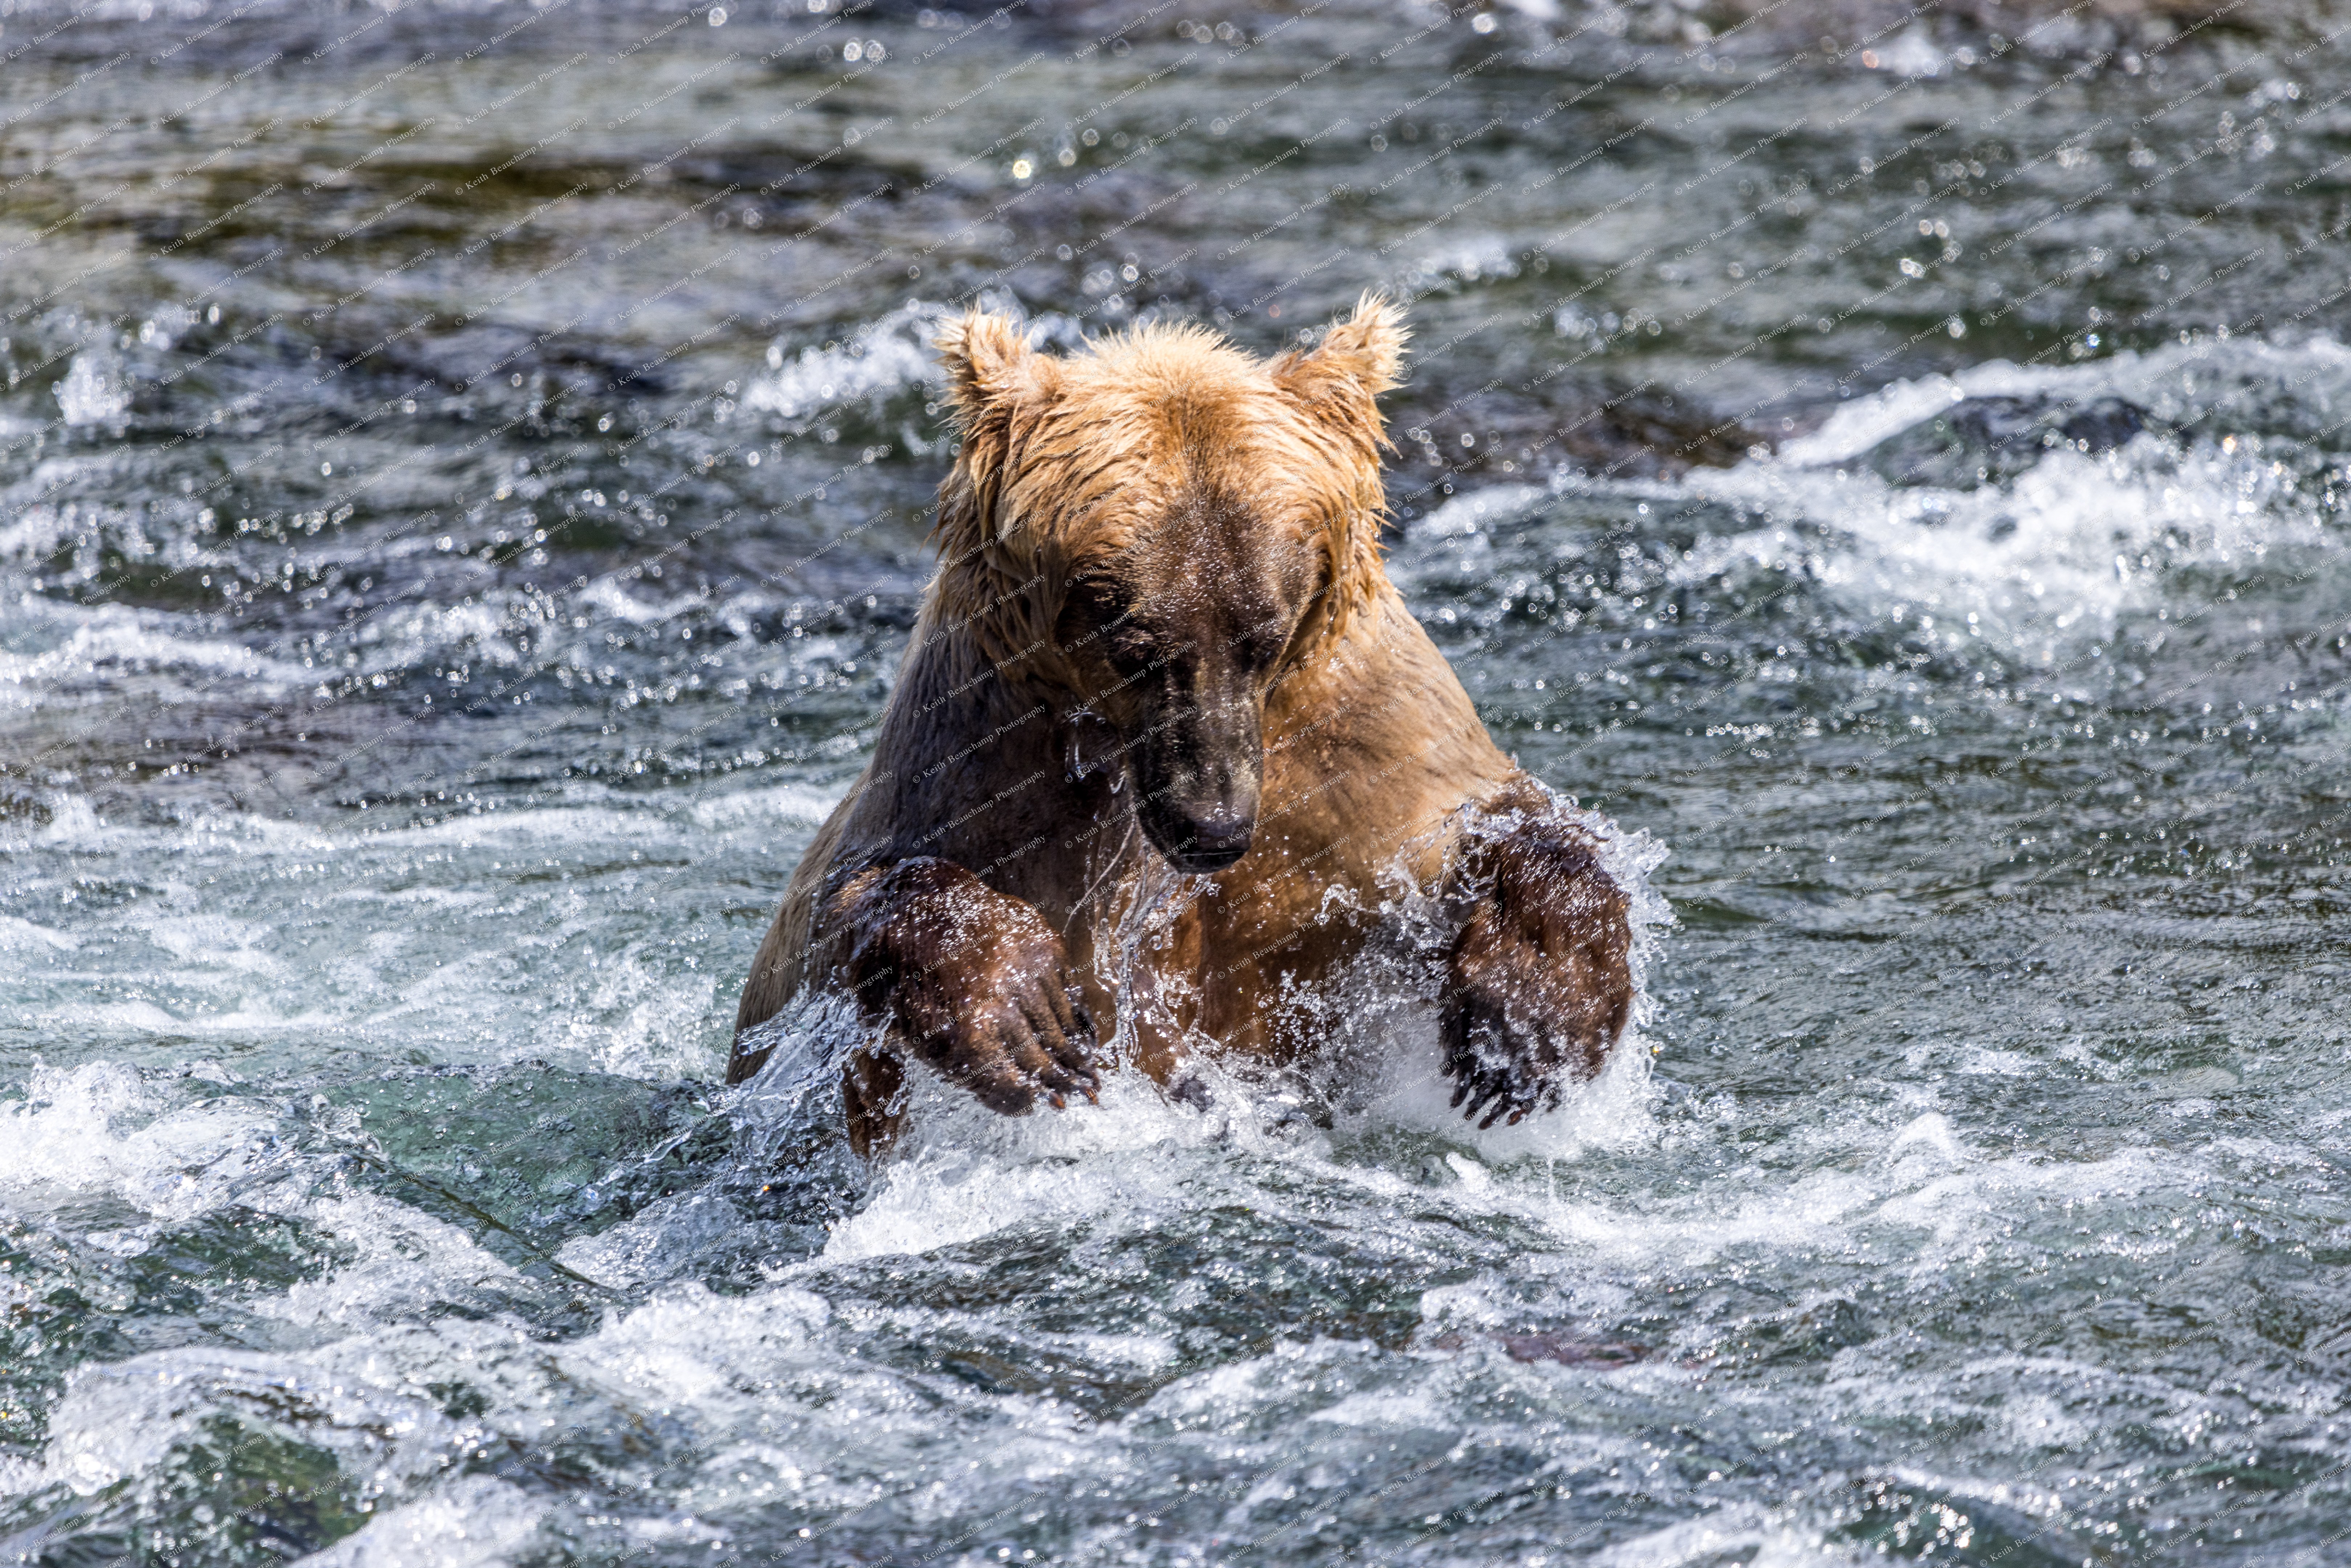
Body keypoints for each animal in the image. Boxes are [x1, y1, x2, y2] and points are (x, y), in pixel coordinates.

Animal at [730, 295, 1636, 1157]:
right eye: (1128, 636)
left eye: (1263, 632)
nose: (1213, 825)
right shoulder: (983, 763)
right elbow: (854, 908)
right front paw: (1023, 1018)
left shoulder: (1355, 753)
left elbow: (1500, 819)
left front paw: (1526, 1026)